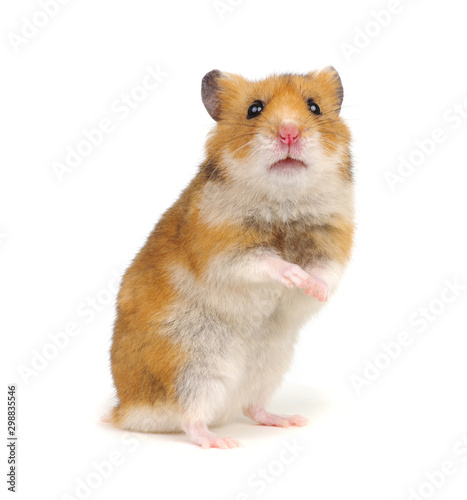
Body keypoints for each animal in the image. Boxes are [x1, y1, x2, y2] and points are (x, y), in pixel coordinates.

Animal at [109, 67, 354, 450]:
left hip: (269, 364)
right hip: (195, 368)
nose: (289, 132)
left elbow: (325, 272)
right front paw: (296, 277)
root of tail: (126, 409)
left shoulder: (335, 241)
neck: (285, 201)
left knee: (252, 406)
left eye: (314, 107)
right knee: (190, 418)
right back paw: (221, 442)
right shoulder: (224, 250)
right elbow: (268, 263)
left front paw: (314, 289)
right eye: (254, 109)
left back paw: (289, 420)